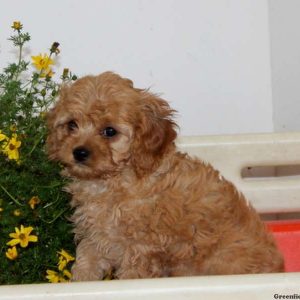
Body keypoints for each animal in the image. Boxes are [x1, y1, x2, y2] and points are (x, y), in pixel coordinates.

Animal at [47, 71, 284, 280]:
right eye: (71, 125)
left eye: (109, 131)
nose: (79, 152)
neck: (112, 181)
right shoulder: (96, 236)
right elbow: (86, 262)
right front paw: (78, 281)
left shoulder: (140, 250)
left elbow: (130, 275)